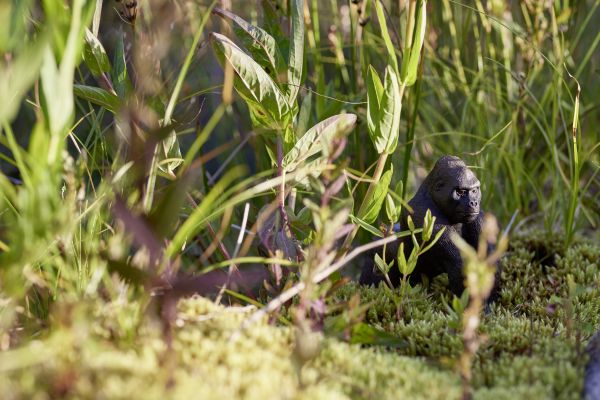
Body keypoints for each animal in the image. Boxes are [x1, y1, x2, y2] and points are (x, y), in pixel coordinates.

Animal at [358, 155, 500, 298]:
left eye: (475, 190)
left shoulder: (478, 217)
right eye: (460, 192)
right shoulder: (425, 213)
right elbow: (459, 263)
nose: (474, 202)